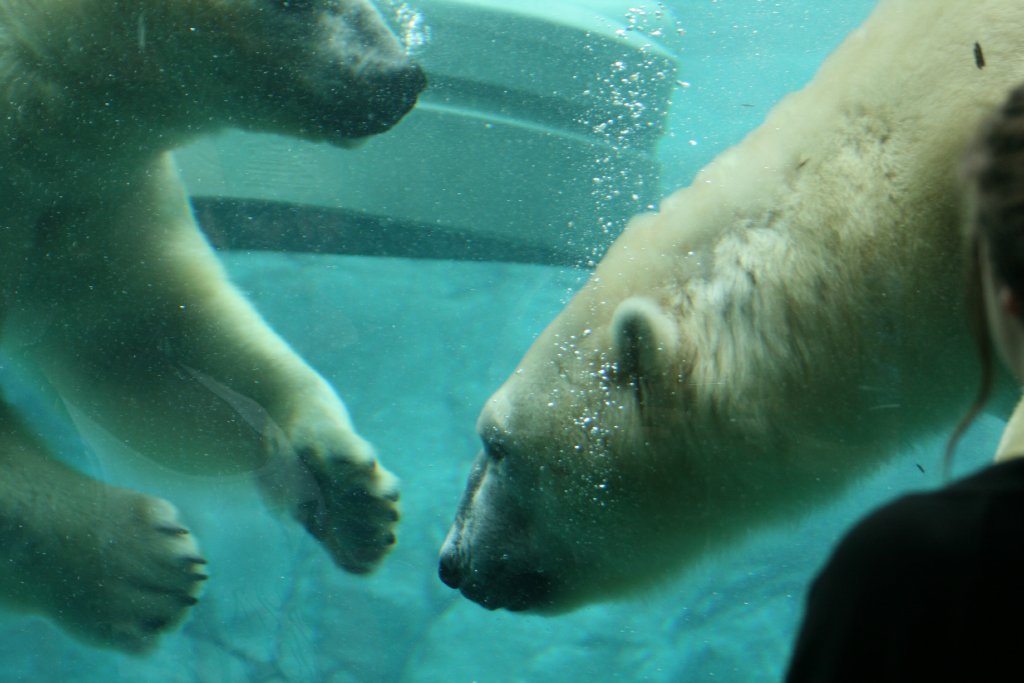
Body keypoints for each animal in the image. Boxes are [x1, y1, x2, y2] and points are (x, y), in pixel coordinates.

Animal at [0, 0, 424, 653]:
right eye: (295, 5)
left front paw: (349, 489)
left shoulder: (88, 201)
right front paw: (138, 566)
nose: (402, 77)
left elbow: (145, 345)